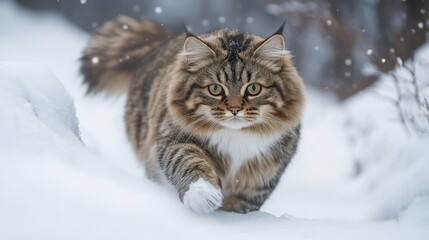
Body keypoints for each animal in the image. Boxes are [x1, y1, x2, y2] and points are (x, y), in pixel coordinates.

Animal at [79, 15, 300, 214]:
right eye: (215, 89)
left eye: (253, 88)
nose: (235, 109)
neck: (236, 136)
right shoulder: (176, 139)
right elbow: (190, 163)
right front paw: (203, 195)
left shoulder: (267, 171)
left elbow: (247, 200)